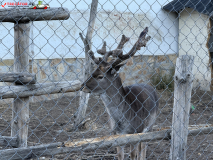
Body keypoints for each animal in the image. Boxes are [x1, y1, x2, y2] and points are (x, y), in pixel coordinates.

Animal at [80, 27, 158, 160]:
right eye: (93, 71)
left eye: (100, 76)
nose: (82, 86)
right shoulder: (115, 134)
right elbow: (120, 155)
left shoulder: (135, 131)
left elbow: (133, 155)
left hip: (150, 125)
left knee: (143, 147)